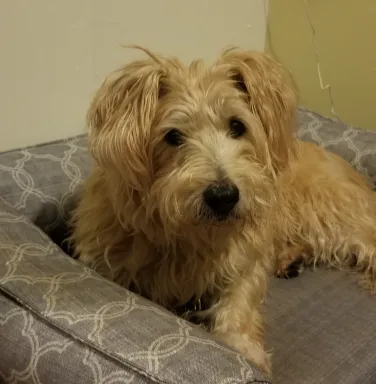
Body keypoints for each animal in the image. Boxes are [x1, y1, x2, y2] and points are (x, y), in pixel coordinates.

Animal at [70, 44, 376, 376]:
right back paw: (289, 259)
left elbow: (239, 300)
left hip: (331, 213)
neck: (191, 235)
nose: (223, 197)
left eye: (237, 126)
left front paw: (243, 348)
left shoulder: (245, 259)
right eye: (173, 136)